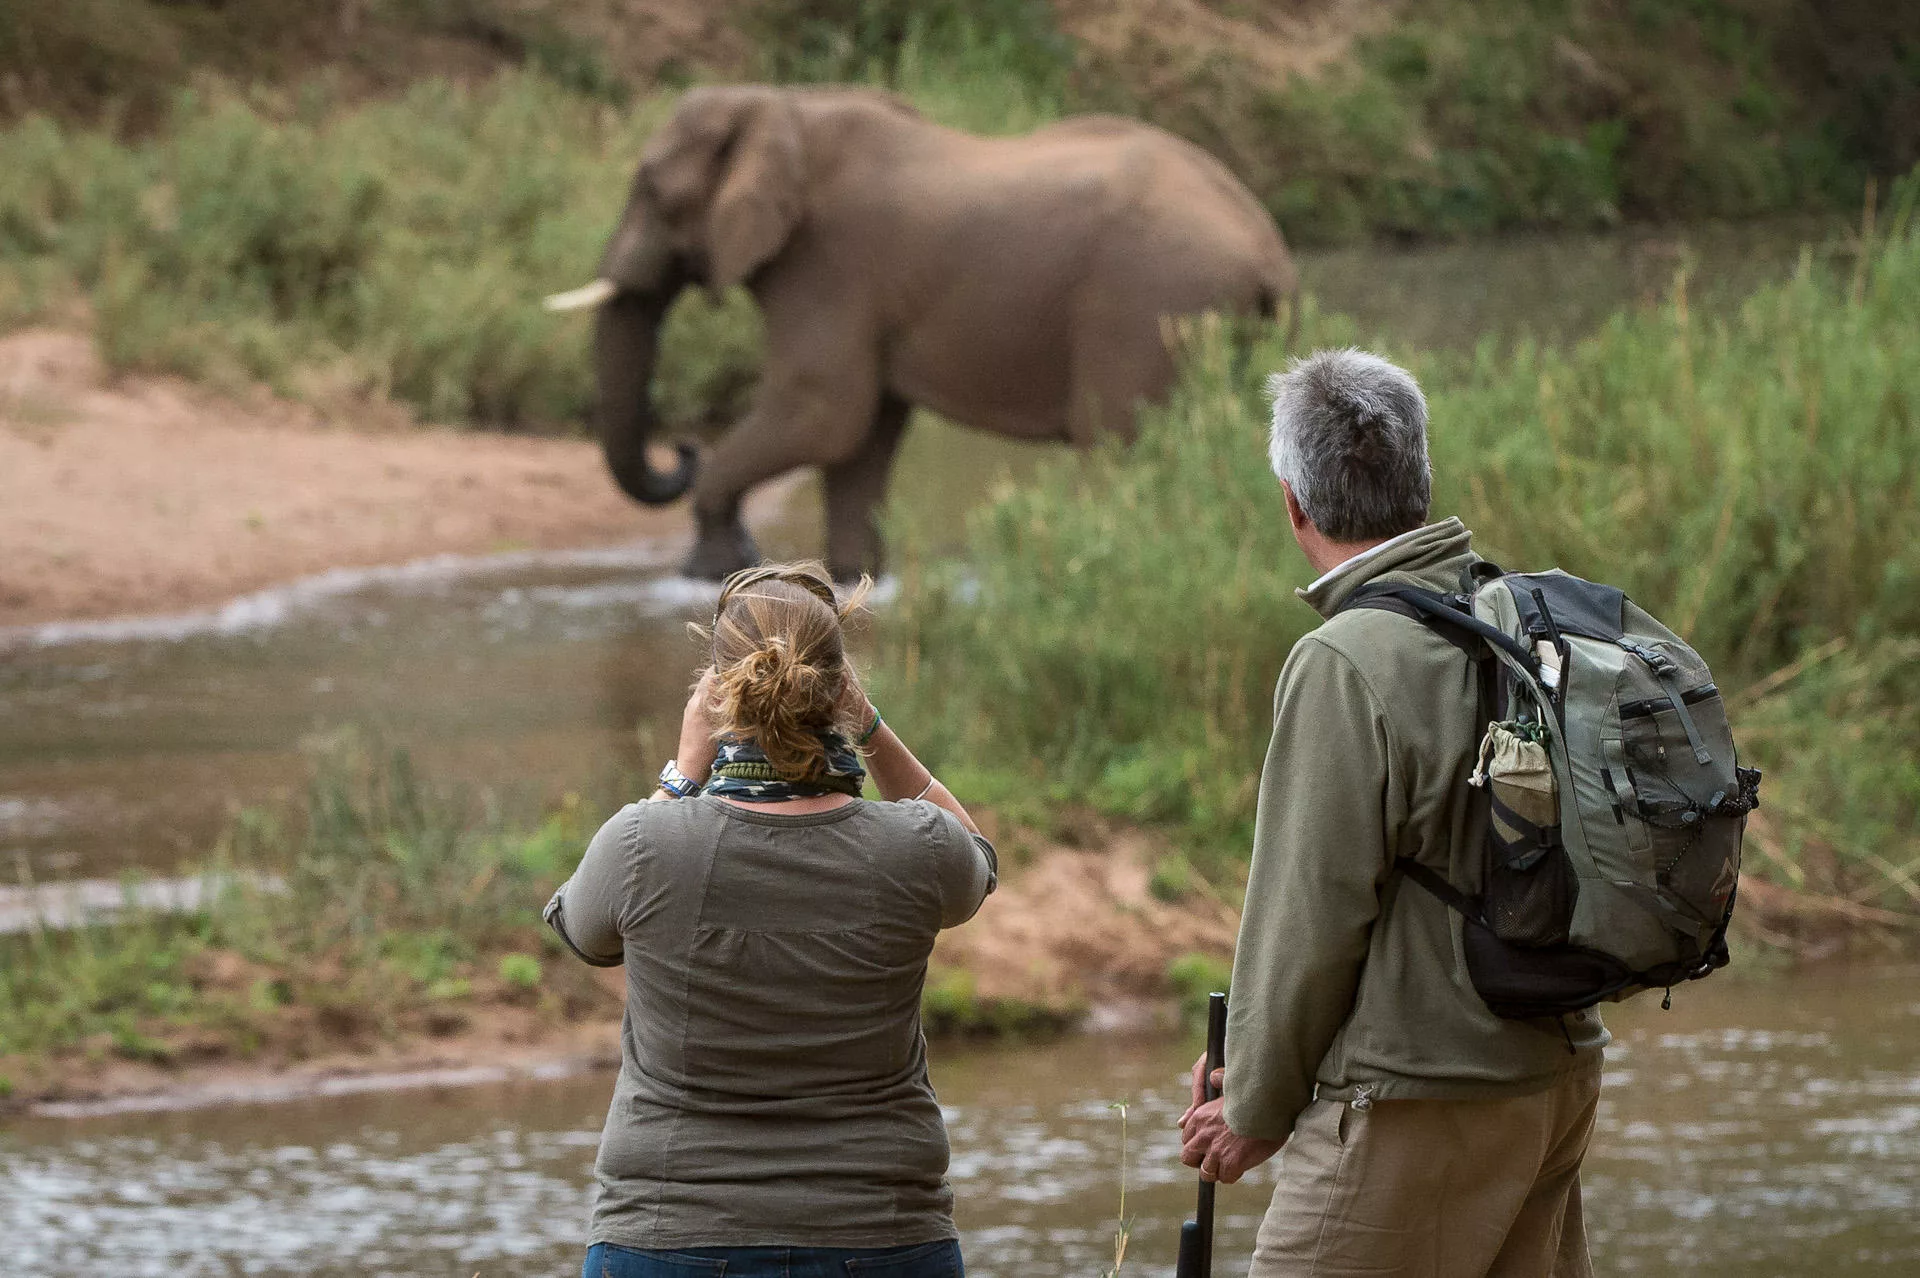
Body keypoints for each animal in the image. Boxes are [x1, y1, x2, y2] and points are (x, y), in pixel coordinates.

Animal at [549, 81, 1297, 575]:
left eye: (652, 191)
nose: (681, 447)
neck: (784, 109)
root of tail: (1269, 247)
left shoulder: (830, 263)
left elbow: (822, 411)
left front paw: (710, 574)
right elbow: (860, 439)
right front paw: (849, 582)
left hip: (1152, 306)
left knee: (1125, 448)